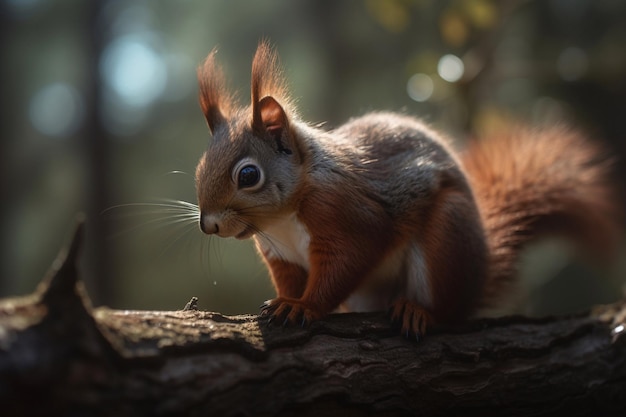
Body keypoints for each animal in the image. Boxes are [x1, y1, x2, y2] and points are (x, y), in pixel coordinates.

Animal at [195, 40, 620, 338]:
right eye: (199, 168)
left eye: (248, 176)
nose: (208, 225)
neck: (282, 220)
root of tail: (478, 276)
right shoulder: (281, 254)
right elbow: (289, 280)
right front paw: (285, 301)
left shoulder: (348, 214)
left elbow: (347, 261)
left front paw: (306, 307)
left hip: (447, 236)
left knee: (447, 309)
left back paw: (420, 312)